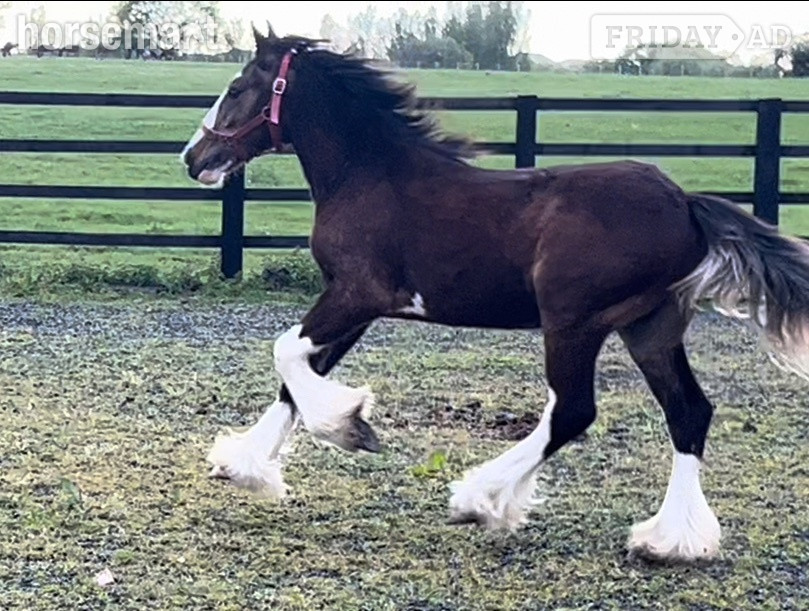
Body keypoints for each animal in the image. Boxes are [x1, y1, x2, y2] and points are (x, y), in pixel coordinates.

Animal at [180, 24, 809, 563]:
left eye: (237, 87)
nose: (194, 158)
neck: (371, 176)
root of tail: (685, 203)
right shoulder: (354, 304)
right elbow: (297, 375)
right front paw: (244, 465)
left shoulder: (359, 292)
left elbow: (287, 353)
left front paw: (350, 427)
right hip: (649, 329)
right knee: (688, 412)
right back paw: (671, 540)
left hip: (574, 321)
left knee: (575, 411)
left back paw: (478, 499)